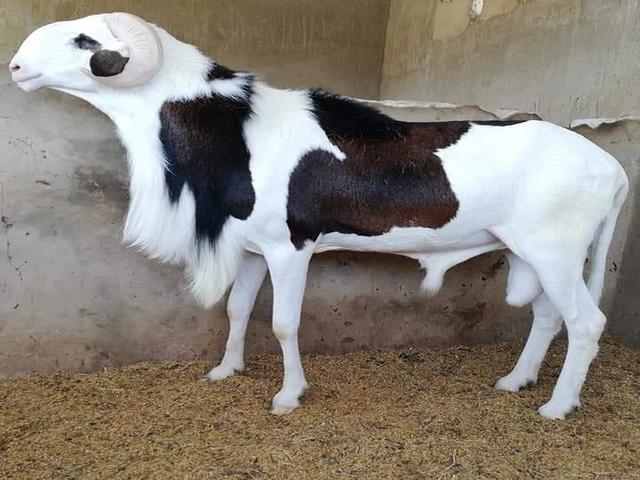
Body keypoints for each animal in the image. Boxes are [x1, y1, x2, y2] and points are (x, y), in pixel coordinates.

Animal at [10, 12, 628, 419]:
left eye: (84, 39)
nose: (15, 65)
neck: (236, 135)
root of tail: (613, 168)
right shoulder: (253, 250)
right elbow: (237, 310)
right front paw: (226, 370)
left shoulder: (291, 248)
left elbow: (284, 323)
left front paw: (288, 396)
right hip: (538, 255)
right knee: (548, 316)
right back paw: (516, 381)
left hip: (555, 252)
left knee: (587, 322)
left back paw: (557, 406)